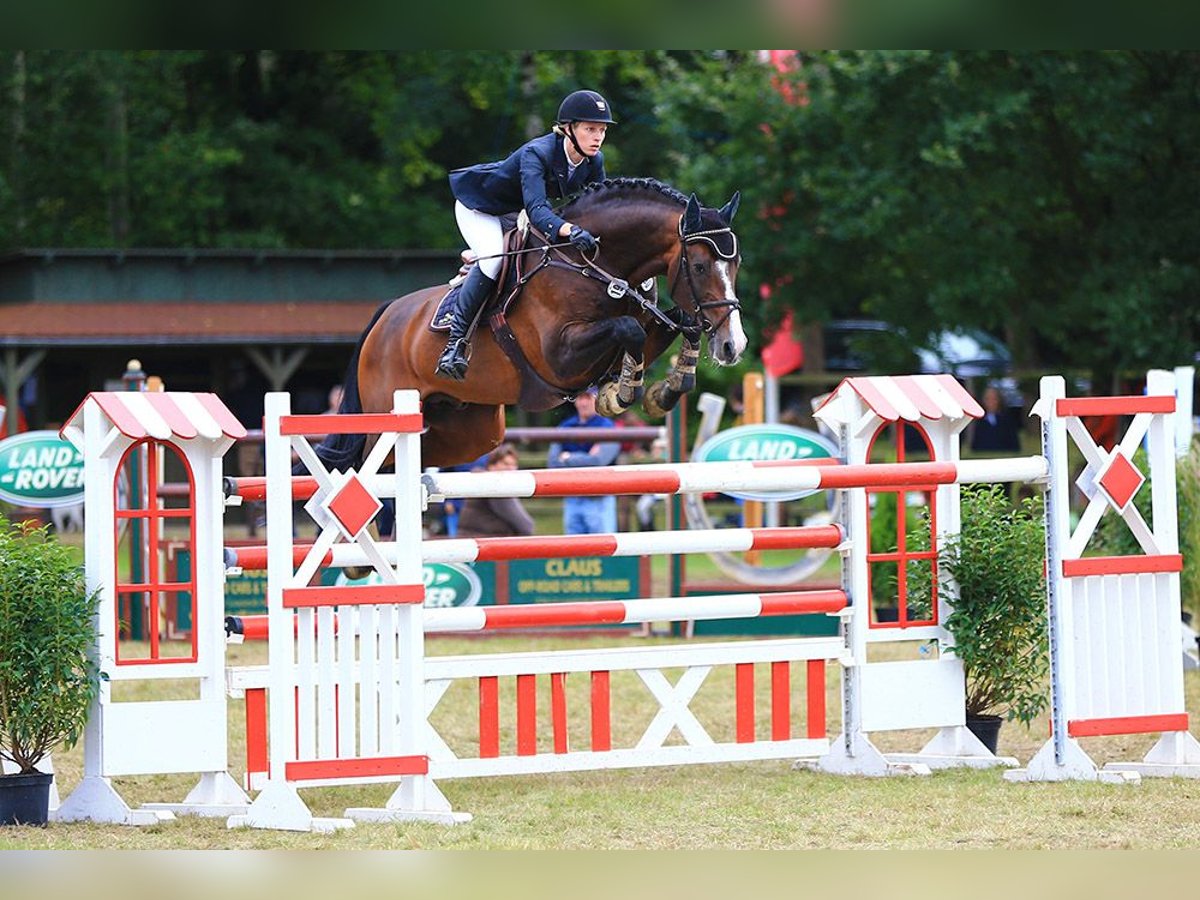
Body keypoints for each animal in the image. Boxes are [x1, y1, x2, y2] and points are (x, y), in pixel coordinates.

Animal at [324, 177, 744, 472]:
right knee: (363, 467)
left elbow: (680, 324)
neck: (595, 264)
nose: (733, 346)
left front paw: (663, 390)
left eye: (736, 264)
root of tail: (384, 316)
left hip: (471, 429)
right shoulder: (559, 358)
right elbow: (629, 329)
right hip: (383, 418)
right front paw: (621, 393)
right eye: (700, 266)